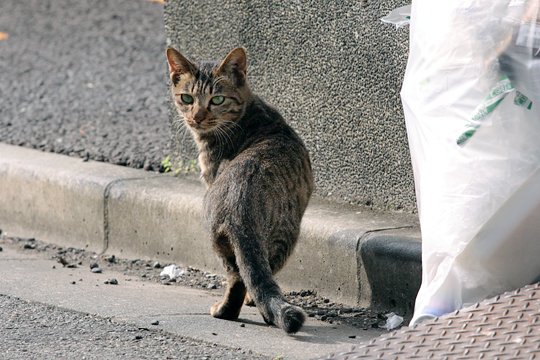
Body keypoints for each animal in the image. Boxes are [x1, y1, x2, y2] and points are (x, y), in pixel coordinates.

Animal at [167, 46, 314, 334]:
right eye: (187, 98)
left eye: (217, 99)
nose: (197, 117)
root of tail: (239, 200)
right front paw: (254, 299)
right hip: (278, 237)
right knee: (251, 273)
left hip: (228, 238)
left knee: (239, 276)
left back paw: (227, 309)